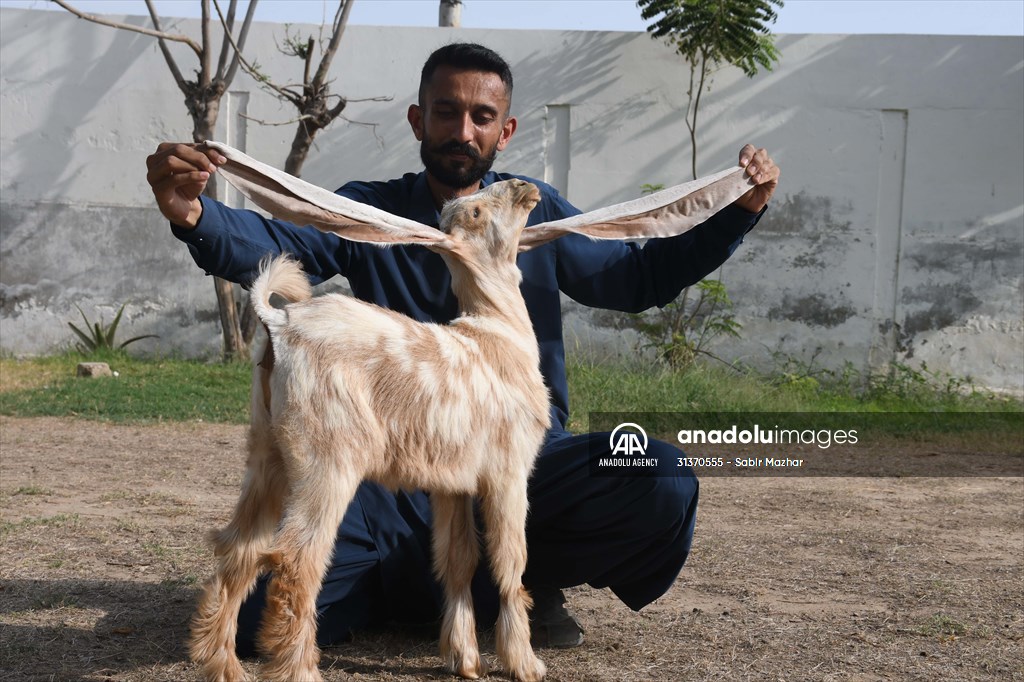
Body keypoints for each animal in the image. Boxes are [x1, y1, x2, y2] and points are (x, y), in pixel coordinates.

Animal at [186, 139, 753, 679]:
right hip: (327, 458)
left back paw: (224, 665)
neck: (497, 332)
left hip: (269, 455)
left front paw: (465, 659)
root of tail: (278, 326)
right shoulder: (508, 472)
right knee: (293, 565)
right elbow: (509, 562)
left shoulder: (452, 482)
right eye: (478, 212)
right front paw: (523, 663)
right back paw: (299, 670)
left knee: (237, 548)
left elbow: (457, 560)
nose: (525, 186)